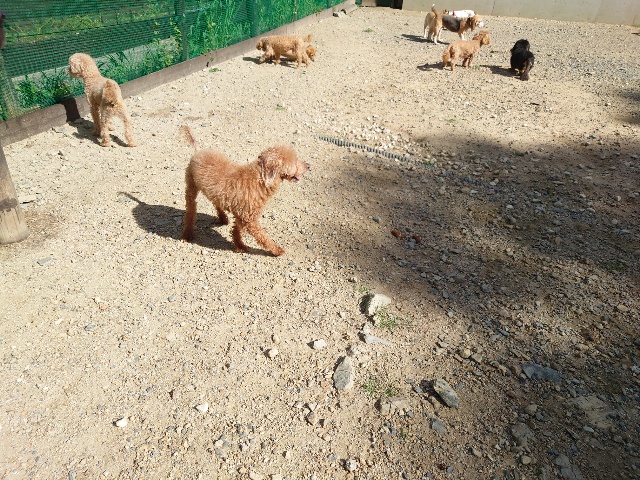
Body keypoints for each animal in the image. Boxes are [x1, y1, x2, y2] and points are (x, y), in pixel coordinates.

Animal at [180, 126, 310, 256]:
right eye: (295, 161)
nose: (308, 165)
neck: (259, 180)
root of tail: (198, 151)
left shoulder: (242, 214)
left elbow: (236, 230)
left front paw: (239, 246)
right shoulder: (249, 220)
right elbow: (263, 237)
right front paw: (277, 250)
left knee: (216, 203)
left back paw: (223, 219)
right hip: (191, 186)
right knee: (190, 210)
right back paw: (187, 234)